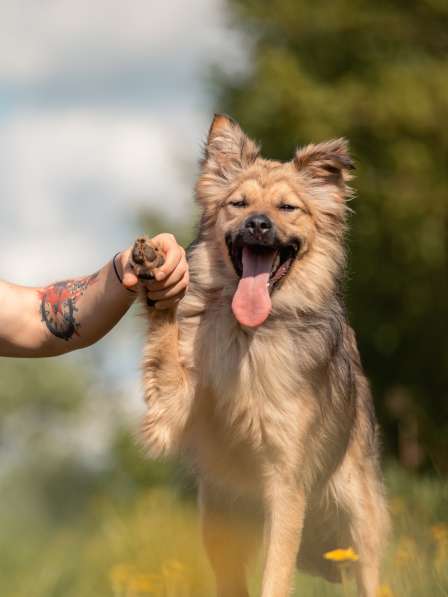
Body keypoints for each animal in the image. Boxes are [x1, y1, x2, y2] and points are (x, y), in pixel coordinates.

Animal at [130, 113, 388, 596]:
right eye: (239, 203)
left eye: (287, 208)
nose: (258, 225)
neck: (248, 332)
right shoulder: (174, 405)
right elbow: (167, 342)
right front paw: (157, 268)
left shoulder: (286, 485)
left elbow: (277, 576)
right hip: (217, 523)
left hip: (361, 530)